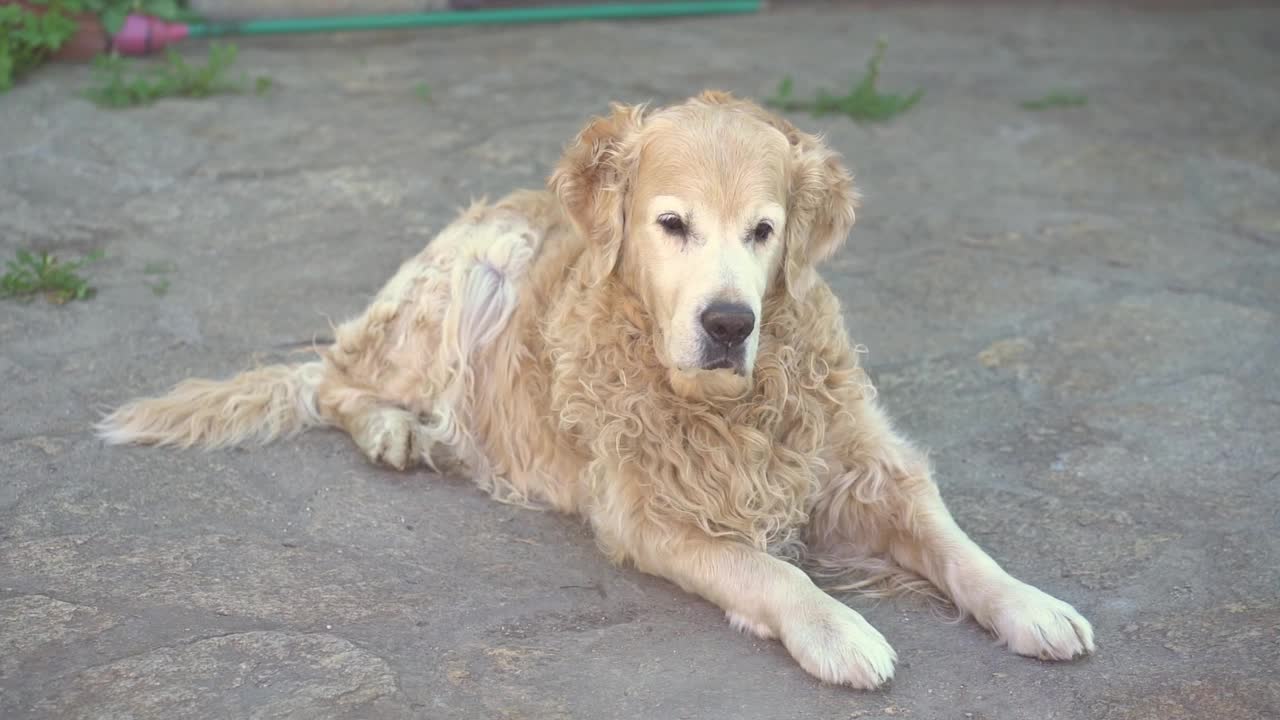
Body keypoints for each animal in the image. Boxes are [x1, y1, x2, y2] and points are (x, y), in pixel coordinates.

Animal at [102, 90, 1100, 691]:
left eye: (765, 230)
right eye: (672, 224)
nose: (729, 323)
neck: (730, 404)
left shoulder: (864, 465)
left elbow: (959, 548)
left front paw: (1033, 606)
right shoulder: (650, 514)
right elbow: (770, 569)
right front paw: (838, 630)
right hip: (473, 268)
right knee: (337, 379)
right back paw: (396, 430)